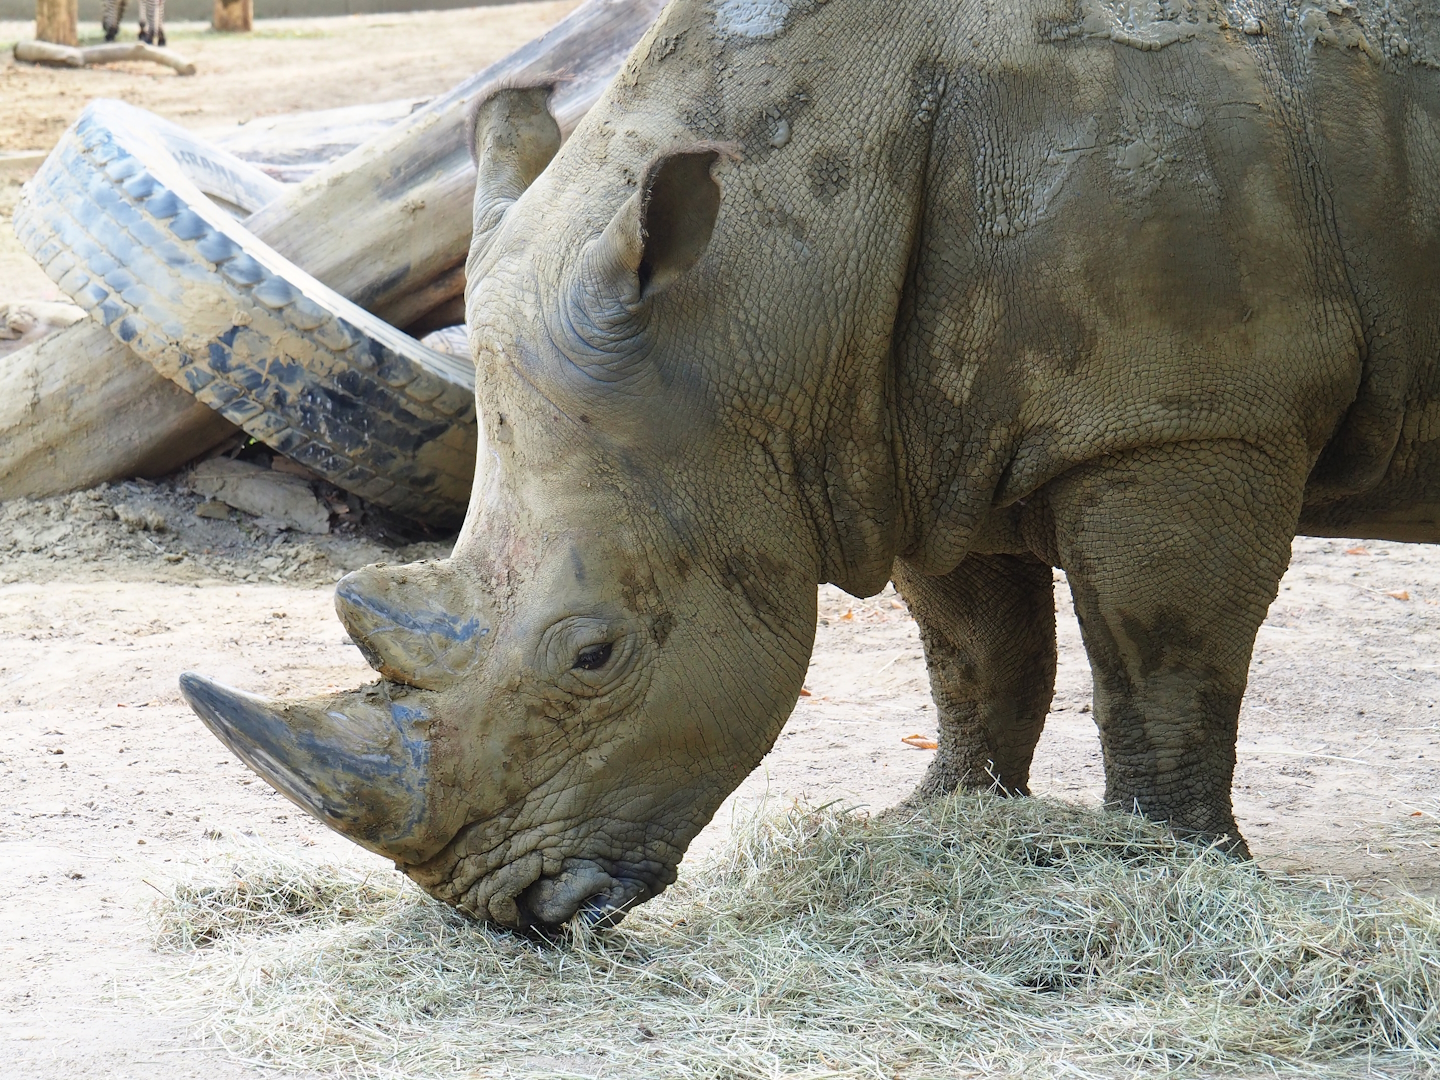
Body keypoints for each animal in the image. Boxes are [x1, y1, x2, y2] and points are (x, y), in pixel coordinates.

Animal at [181, 0, 1440, 929]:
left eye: (595, 655)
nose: (511, 911)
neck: (776, 267)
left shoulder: (1189, 418)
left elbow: (1163, 661)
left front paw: (1169, 867)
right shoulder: (920, 436)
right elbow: (978, 654)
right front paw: (936, 821)